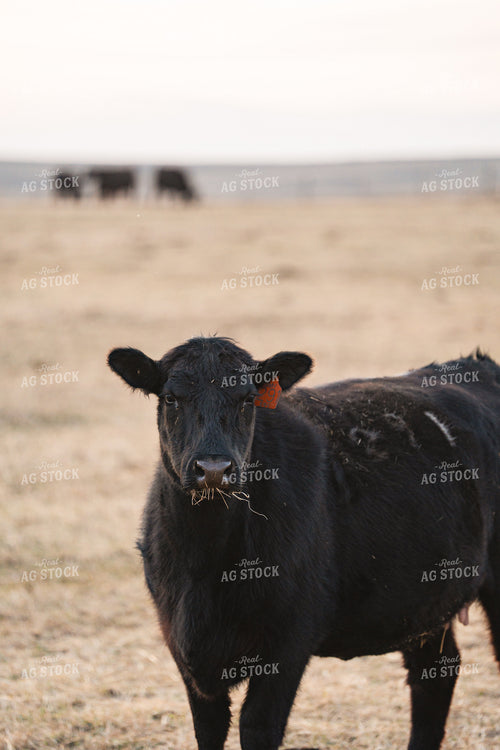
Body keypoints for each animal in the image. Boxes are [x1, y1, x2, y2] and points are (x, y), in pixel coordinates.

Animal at [107, 337, 500, 750]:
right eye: (171, 398)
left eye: (248, 399)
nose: (213, 469)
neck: (204, 566)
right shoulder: (183, 646)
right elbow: (209, 729)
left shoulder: (288, 641)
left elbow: (258, 726)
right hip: (423, 598)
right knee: (435, 674)